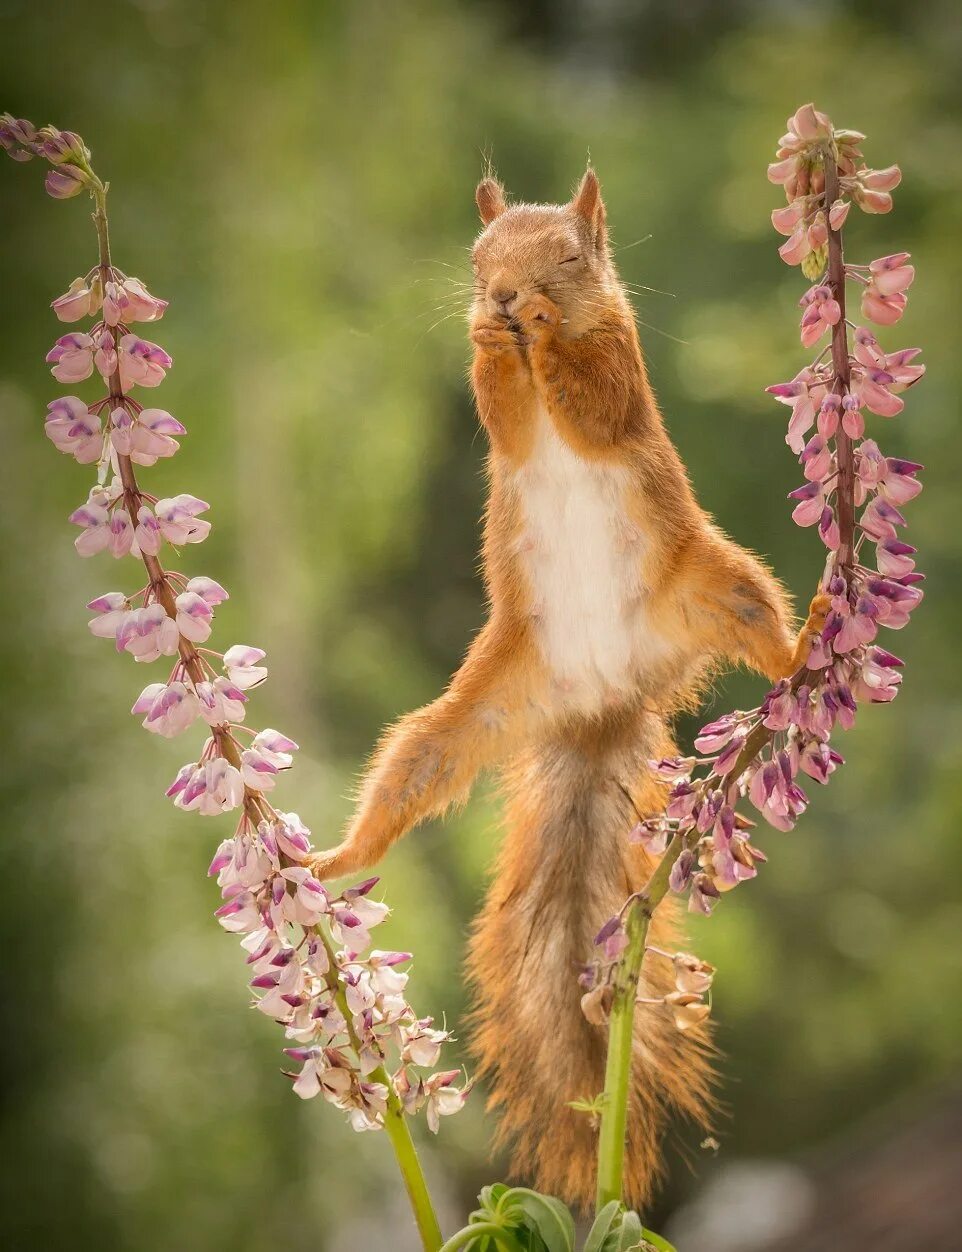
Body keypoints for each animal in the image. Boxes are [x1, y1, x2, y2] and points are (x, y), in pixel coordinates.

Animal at [313, 171, 826, 1206]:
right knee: (408, 774)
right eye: (478, 258)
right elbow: (504, 412)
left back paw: (813, 636)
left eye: (570, 255)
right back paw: (335, 860)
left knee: (771, 636)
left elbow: (589, 403)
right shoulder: (506, 420)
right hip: (472, 707)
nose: (508, 296)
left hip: (721, 586)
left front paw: (546, 333)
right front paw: (489, 338)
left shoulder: (620, 370)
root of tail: (599, 702)